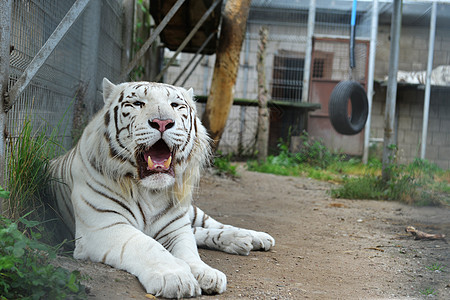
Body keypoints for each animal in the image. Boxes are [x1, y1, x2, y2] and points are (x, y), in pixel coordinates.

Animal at [49, 78, 274, 298]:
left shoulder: (175, 228)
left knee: (209, 224)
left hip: (190, 211)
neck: (149, 192)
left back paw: (252, 237)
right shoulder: (104, 225)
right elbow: (149, 246)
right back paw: (239, 240)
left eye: (175, 105)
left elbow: (189, 251)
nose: (163, 122)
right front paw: (176, 278)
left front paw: (206, 273)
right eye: (138, 103)